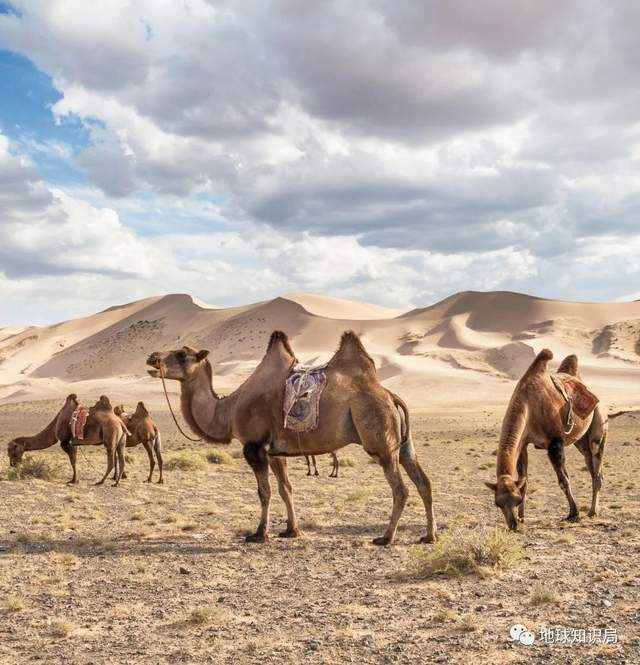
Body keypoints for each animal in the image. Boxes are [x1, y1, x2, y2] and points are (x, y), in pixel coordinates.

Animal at [144, 330, 436, 544]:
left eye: (182, 355)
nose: (151, 357)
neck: (228, 410)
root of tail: (390, 395)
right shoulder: (276, 451)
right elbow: (286, 489)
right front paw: (290, 530)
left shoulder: (254, 446)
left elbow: (264, 492)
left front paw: (259, 534)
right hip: (404, 444)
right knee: (424, 482)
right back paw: (429, 536)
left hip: (380, 440)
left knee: (400, 489)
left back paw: (386, 538)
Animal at [482, 348, 608, 528]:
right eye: (498, 503)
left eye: (515, 500)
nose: (512, 525)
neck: (528, 406)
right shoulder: (524, 443)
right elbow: (524, 481)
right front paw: (522, 517)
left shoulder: (555, 442)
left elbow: (563, 480)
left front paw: (574, 514)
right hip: (581, 441)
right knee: (591, 466)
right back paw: (594, 509)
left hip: (599, 426)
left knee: (597, 468)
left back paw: (592, 511)